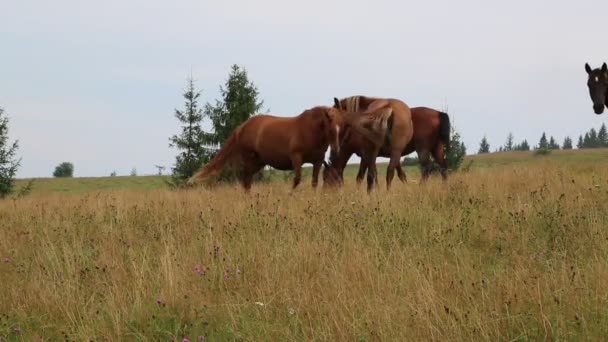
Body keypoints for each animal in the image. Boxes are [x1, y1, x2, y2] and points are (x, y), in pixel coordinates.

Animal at [185, 105, 346, 191]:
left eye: (341, 127)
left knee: (246, 180)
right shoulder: (296, 158)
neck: (310, 130)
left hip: (259, 163)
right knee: (246, 180)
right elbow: (297, 179)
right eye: (331, 129)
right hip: (249, 159)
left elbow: (314, 182)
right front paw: (290, 195)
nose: (337, 149)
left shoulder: (317, 161)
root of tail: (242, 127)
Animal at [324, 107, 452, 186]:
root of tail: (438, 113)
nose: (326, 193)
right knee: (443, 167)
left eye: (326, 178)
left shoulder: (366, 156)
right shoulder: (392, 154)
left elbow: (361, 176)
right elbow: (400, 174)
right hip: (437, 148)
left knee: (426, 168)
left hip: (422, 149)